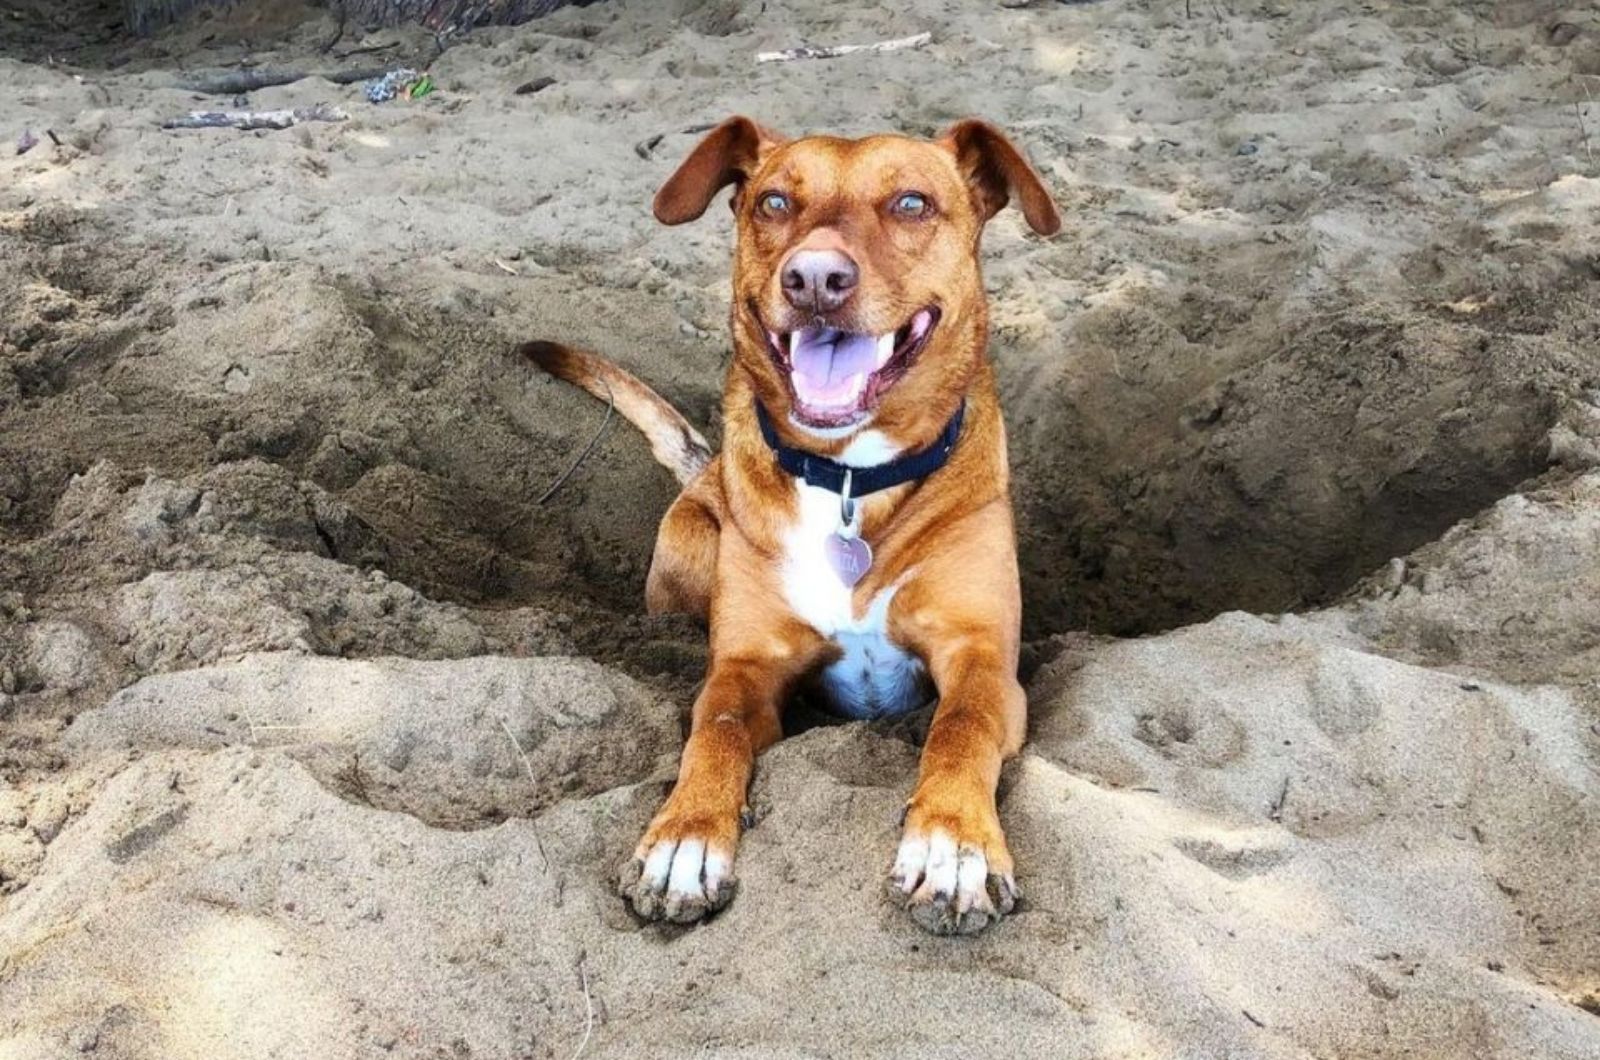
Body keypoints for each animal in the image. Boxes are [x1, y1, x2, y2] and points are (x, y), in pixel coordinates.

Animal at [521, 116, 1062, 935]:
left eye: (911, 202)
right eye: (774, 201)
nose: (812, 279)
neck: (848, 479)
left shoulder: (983, 660)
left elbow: (960, 728)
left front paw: (952, 846)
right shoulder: (748, 668)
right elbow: (714, 728)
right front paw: (684, 840)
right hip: (691, 545)